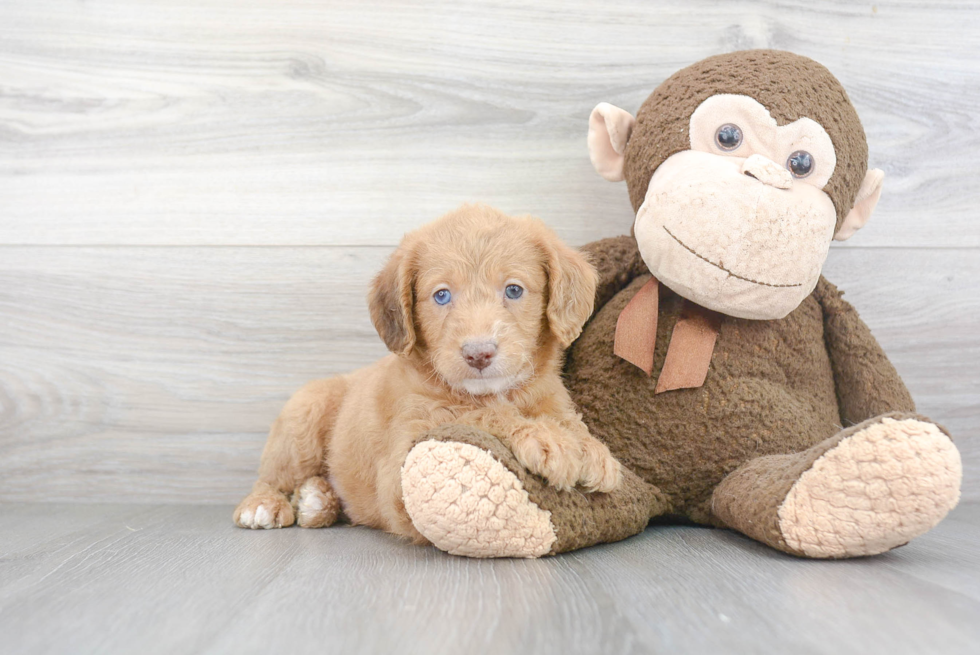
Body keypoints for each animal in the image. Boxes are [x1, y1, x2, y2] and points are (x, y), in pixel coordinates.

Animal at [234, 205, 620, 544]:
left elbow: (566, 420)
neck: (499, 392)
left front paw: (591, 449)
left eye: (514, 290)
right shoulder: (402, 461)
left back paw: (316, 500)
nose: (478, 353)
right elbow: (474, 414)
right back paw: (265, 505)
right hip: (304, 417)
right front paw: (546, 438)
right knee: (273, 476)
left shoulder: (551, 398)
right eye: (442, 295)